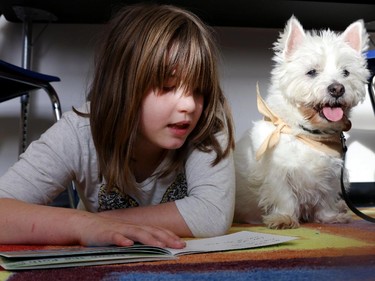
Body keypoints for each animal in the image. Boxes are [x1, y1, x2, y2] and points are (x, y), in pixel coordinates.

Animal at [235, 16, 370, 229]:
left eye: (346, 72)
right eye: (311, 72)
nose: (337, 89)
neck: (308, 133)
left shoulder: (330, 175)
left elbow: (326, 198)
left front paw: (329, 217)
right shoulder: (278, 173)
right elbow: (284, 197)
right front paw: (284, 218)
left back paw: (341, 208)